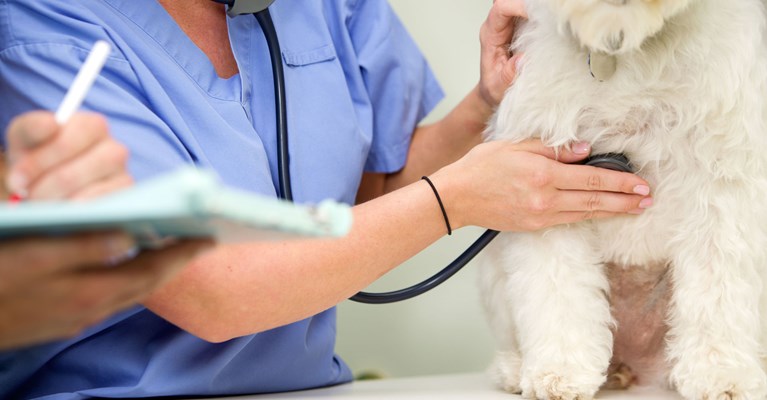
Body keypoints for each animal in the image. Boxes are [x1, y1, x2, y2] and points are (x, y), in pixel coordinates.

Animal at [484, 0, 767, 400]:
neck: (624, 45)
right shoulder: (548, 185)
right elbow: (557, 290)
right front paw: (560, 370)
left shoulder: (722, 181)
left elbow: (717, 290)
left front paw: (721, 372)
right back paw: (517, 368)